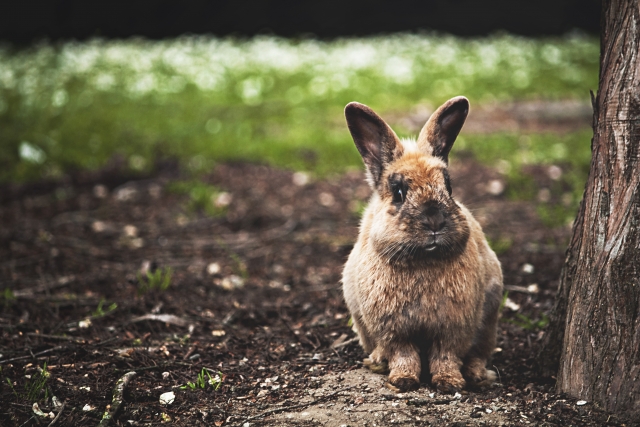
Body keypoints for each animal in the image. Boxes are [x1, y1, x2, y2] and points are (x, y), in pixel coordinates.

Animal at [342, 97, 502, 394]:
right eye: (399, 192)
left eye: (448, 187)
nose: (435, 221)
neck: (423, 261)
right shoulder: (394, 331)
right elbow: (404, 355)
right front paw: (403, 380)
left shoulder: (453, 329)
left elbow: (446, 356)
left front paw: (449, 383)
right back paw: (377, 362)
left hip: (488, 323)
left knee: (478, 354)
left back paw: (477, 375)